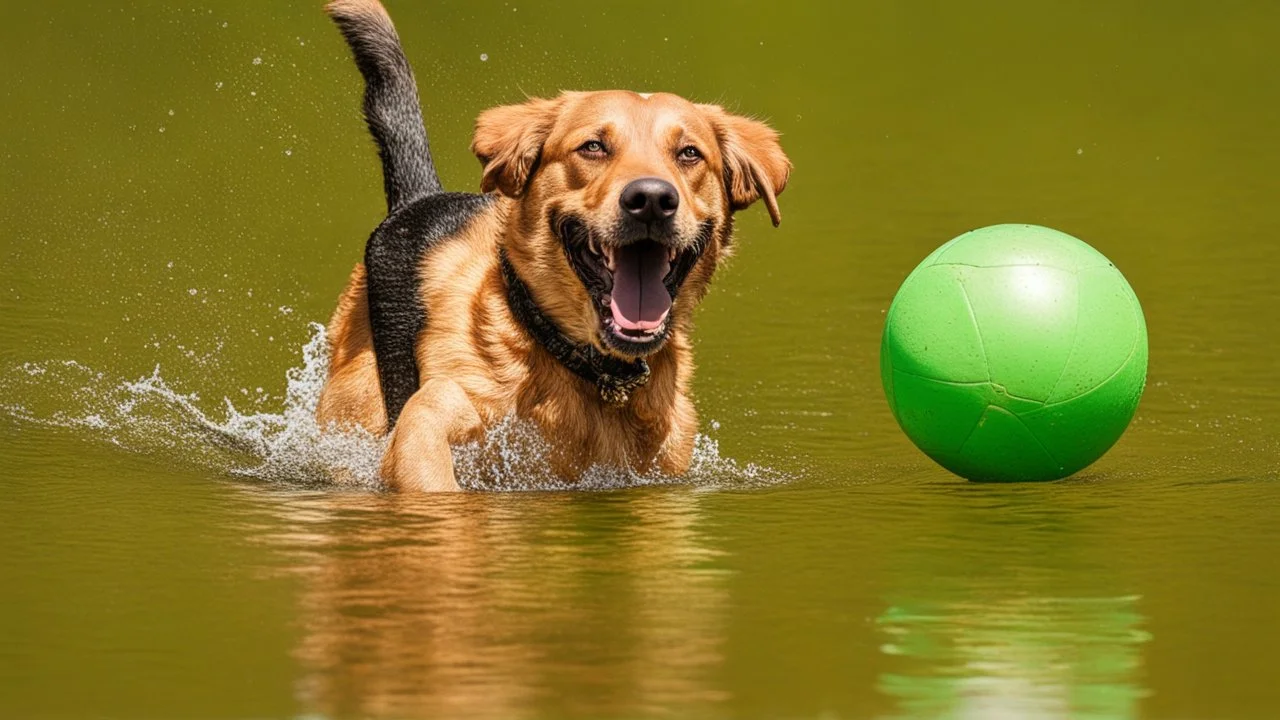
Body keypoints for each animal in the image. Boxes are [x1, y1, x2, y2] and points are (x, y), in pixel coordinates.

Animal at [314, 0, 783, 486]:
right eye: (593, 146)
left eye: (689, 153)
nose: (652, 200)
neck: (590, 373)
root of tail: (418, 197)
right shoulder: (440, 406)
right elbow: (427, 460)